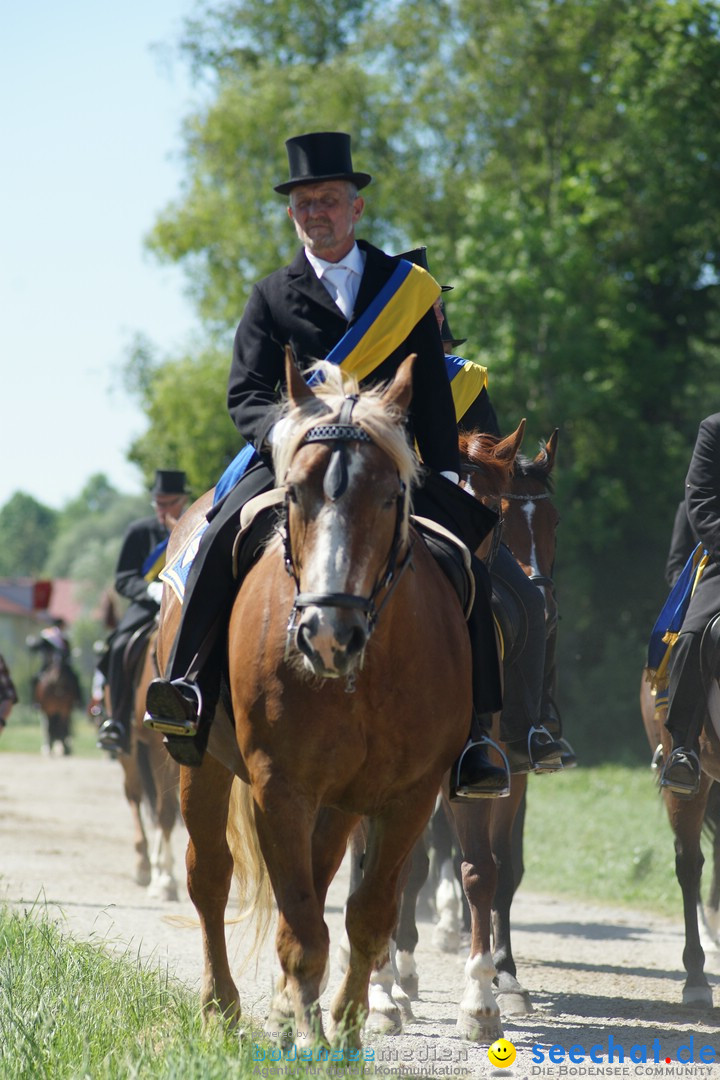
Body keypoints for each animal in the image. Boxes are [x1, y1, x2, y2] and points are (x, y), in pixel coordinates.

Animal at [110, 630, 184, 898]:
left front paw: (165, 874)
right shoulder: (157, 750)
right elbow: (165, 811)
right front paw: (164, 880)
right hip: (130, 750)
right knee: (135, 795)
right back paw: (143, 865)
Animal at [155, 358, 505, 1049]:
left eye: (391, 496)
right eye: (294, 494)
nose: (326, 633)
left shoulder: (408, 796)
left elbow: (365, 915)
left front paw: (343, 1028)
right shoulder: (279, 785)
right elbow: (298, 927)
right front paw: (311, 1037)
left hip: (340, 803)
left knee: (319, 882)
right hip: (202, 764)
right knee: (210, 875)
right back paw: (221, 1006)